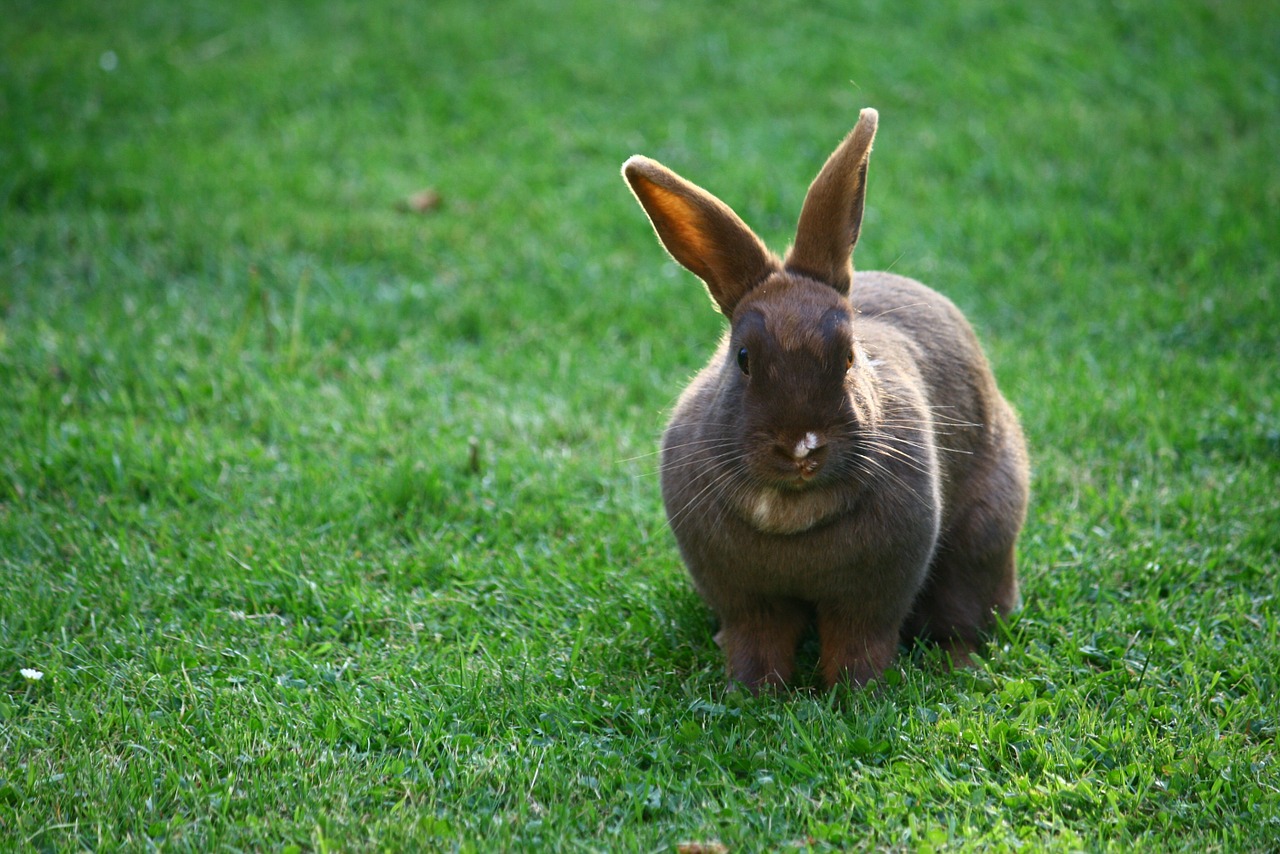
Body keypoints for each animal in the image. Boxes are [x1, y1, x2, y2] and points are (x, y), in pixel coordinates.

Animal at [619, 108, 1029, 696]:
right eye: (743, 358)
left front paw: (855, 698)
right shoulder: (746, 601)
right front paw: (752, 694)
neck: (791, 507)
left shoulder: (871, 596)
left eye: (850, 356)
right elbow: (757, 642)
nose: (801, 446)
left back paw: (962, 667)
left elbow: (859, 644)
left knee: (962, 616)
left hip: (984, 539)